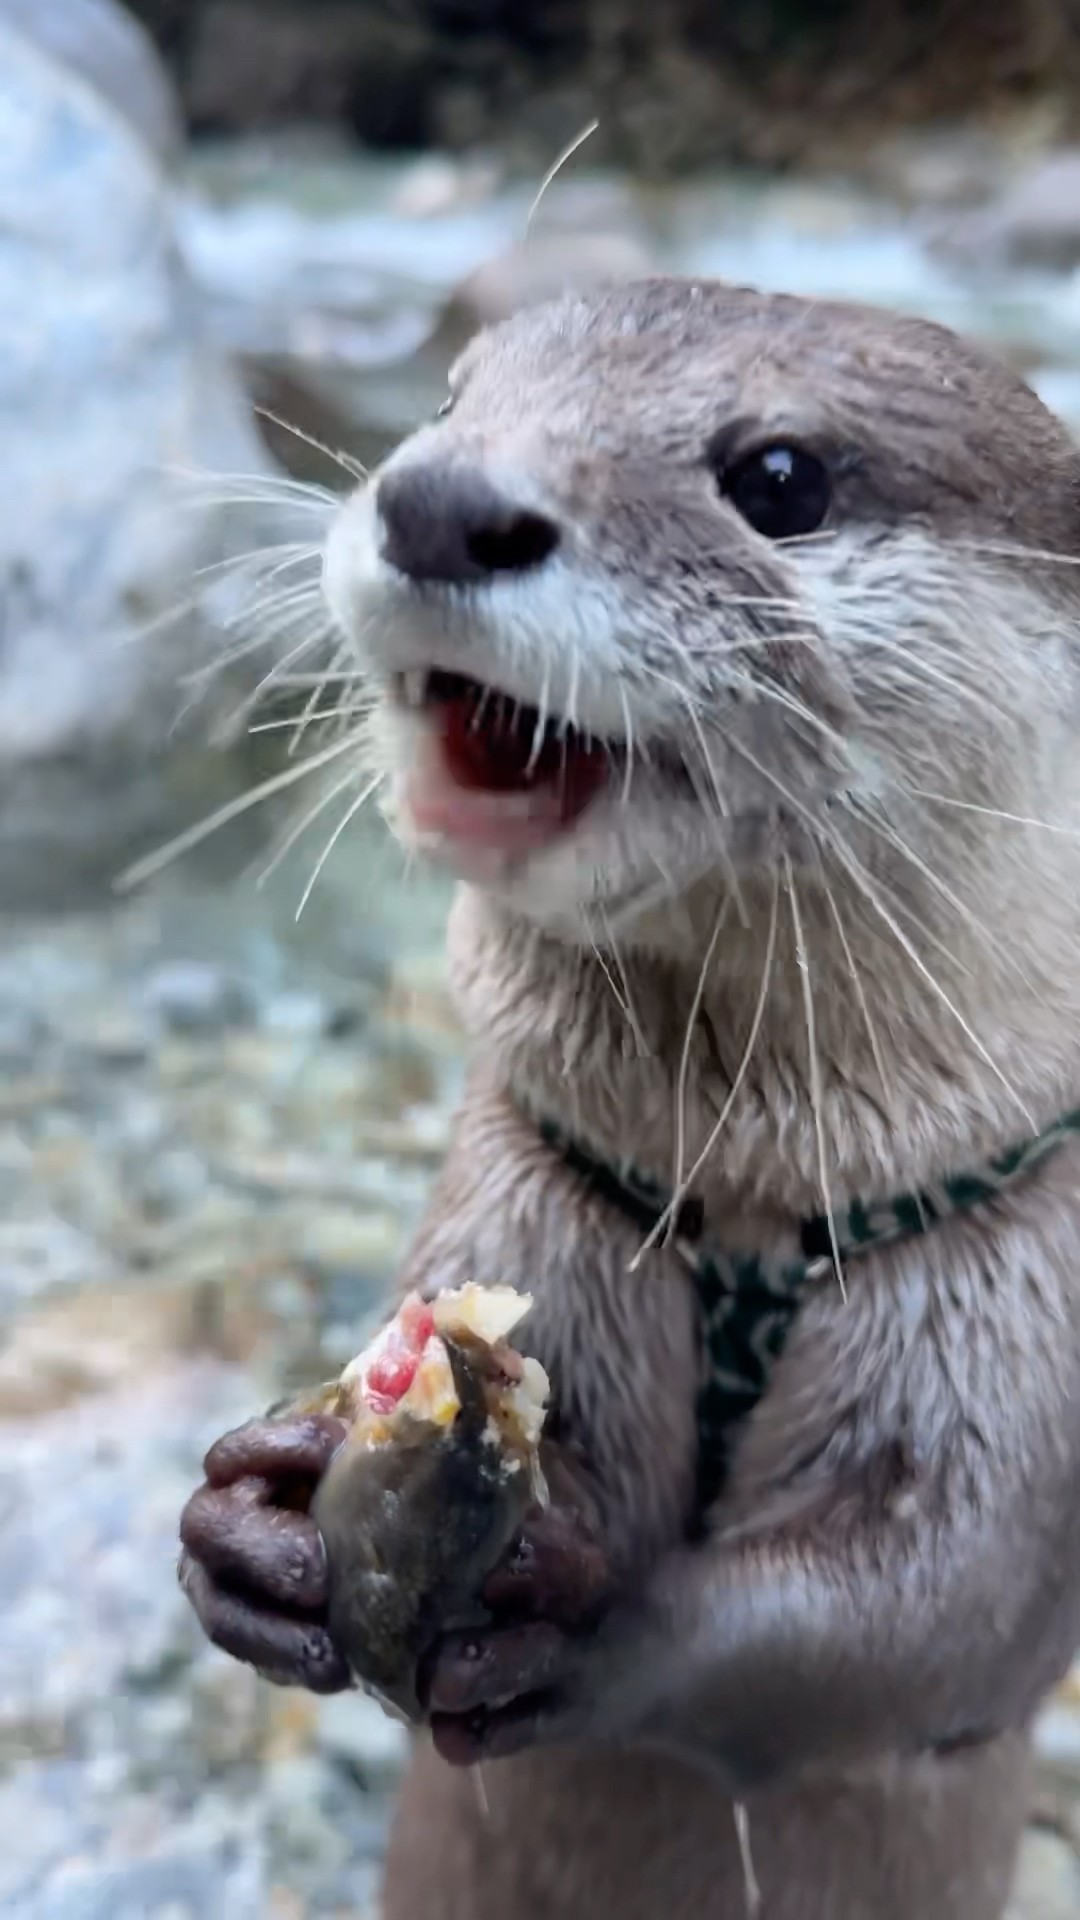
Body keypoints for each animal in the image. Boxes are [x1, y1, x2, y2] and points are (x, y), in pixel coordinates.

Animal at [178, 279, 1080, 1918]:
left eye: (779, 476)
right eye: (447, 403)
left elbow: (930, 1621)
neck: (752, 1215)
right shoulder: (522, 1191)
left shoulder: (1023, 1317)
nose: (439, 501)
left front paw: (582, 1615)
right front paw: (246, 1522)